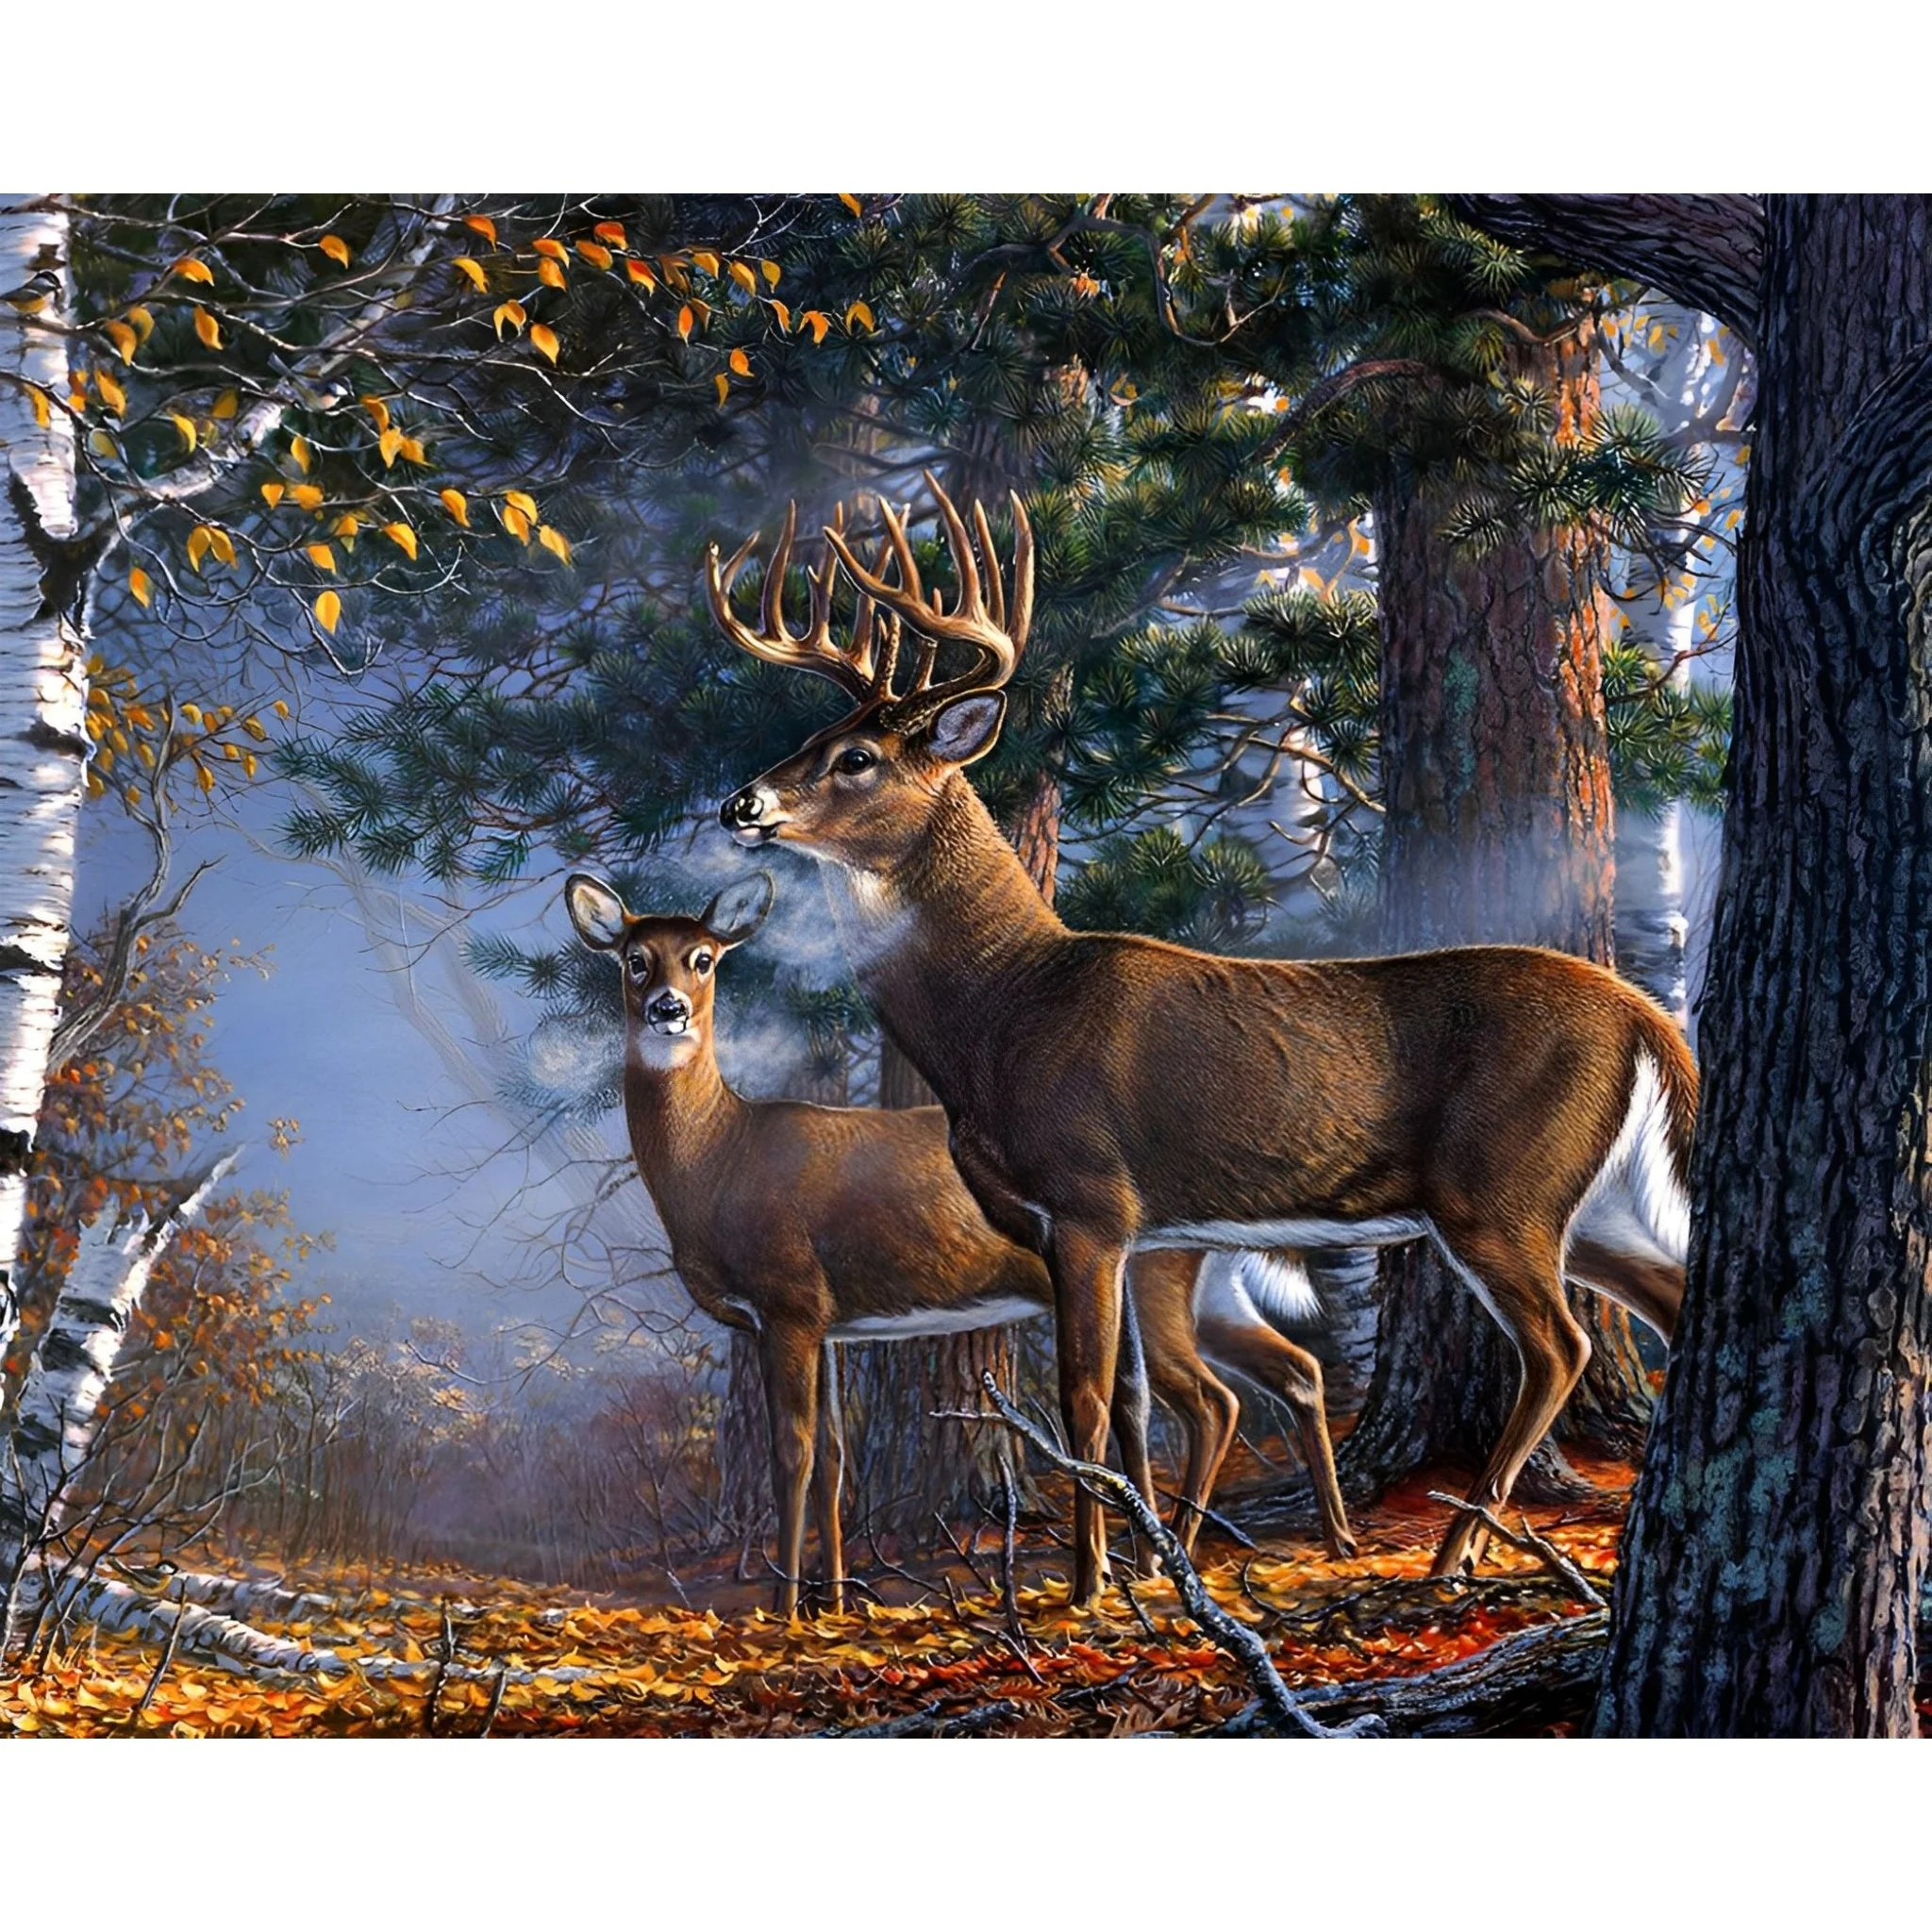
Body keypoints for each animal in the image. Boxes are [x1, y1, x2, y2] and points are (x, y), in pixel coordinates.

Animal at [565, 867, 1358, 1619]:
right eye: (635, 959)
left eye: (703, 958)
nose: (668, 1008)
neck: (722, 1159)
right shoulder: (829, 1322)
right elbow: (835, 1457)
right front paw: (836, 1603)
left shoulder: (785, 1299)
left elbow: (791, 1452)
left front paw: (784, 1610)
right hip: (1202, 1291)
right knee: (1263, 1377)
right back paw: (1286, 1545)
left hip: (1155, 1280)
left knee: (1204, 1399)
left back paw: (1167, 1559)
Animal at [710, 475, 1697, 1608]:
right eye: (821, 730)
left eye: (857, 758)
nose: (741, 803)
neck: (1004, 1010)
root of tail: (1645, 1017)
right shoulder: (1135, 1231)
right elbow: (1139, 1400)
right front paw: (1144, 1568)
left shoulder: (1089, 1201)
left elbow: (1085, 1398)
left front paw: (1088, 1586)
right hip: (1591, 1197)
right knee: (1671, 1298)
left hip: (1501, 1184)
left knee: (1560, 1344)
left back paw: (1460, 1548)